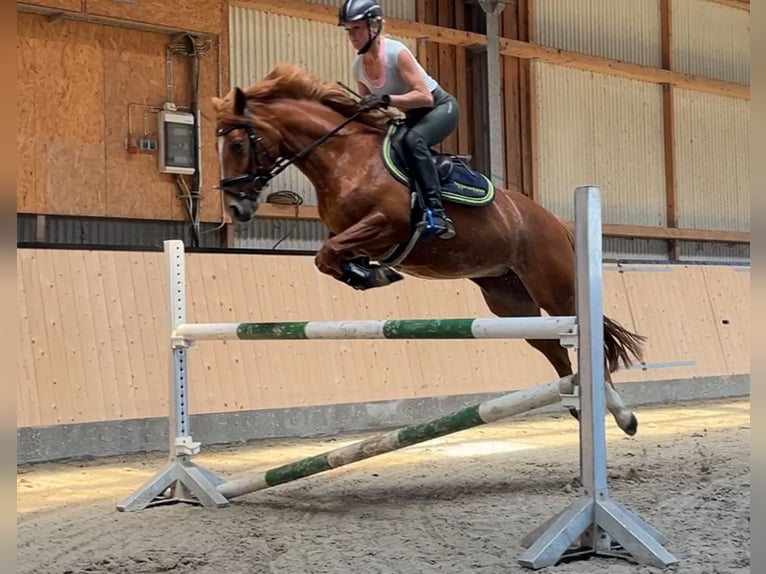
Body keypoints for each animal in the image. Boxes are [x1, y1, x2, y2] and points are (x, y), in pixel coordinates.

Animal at [212, 63, 648, 438]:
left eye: (236, 144)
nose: (236, 208)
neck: (343, 157)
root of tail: (555, 221)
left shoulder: (387, 225)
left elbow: (328, 253)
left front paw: (372, 273)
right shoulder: (352, 232)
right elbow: (330, 256)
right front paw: (368, 273)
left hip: (555, 290)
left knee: (586, 342)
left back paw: (622, 415)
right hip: (509, 300)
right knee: (555, 349)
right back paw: (580, 407)